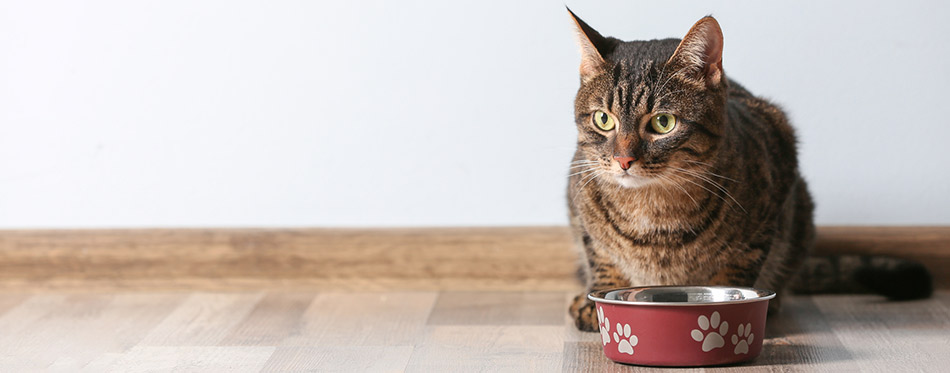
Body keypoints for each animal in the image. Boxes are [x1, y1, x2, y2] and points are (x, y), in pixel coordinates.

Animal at [560, 8, 932, 330]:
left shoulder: (770, 203)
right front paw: (595, 301)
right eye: (603, 119)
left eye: (663, 123)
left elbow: (736, 274)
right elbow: (602, 259)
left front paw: (724, 312)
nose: (624, 160)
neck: (652, 211)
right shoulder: (580, 205)